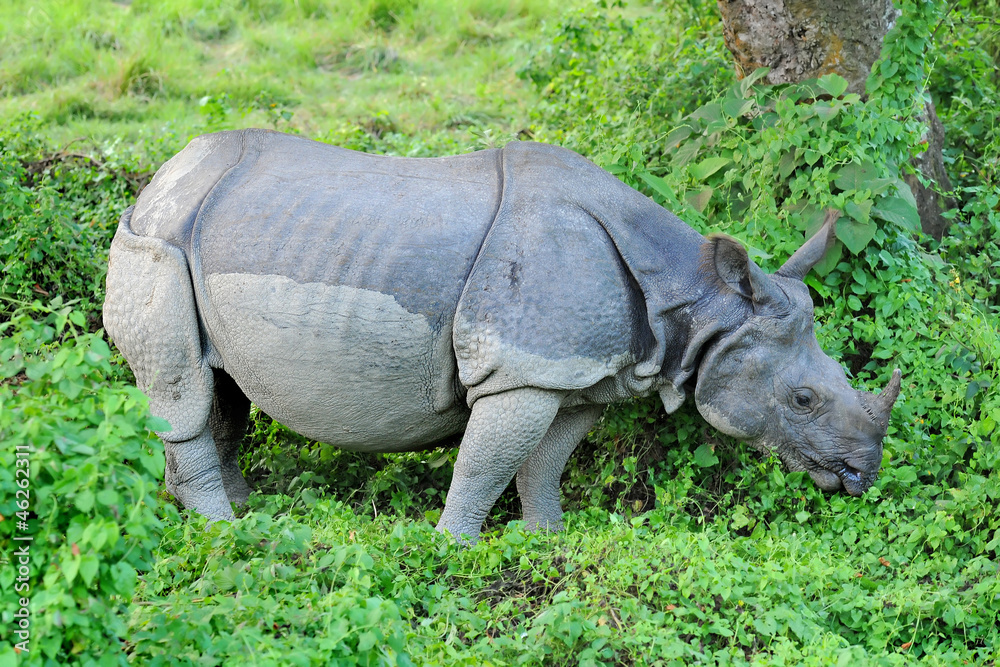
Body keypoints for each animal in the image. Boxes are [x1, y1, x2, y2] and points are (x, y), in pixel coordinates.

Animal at [103, 129, 901, 541]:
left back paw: (232, 509)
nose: (861, 477)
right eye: (802, 399)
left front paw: (544, 539)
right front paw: (451, 548)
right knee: (180, 386)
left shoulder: (580, 373)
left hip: (207, 231)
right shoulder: (522, 369)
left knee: (219, 386)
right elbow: (485, 463)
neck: (698, 301)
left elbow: (544, 460)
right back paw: (223, 533)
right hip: (157, 240)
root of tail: (161, 174)